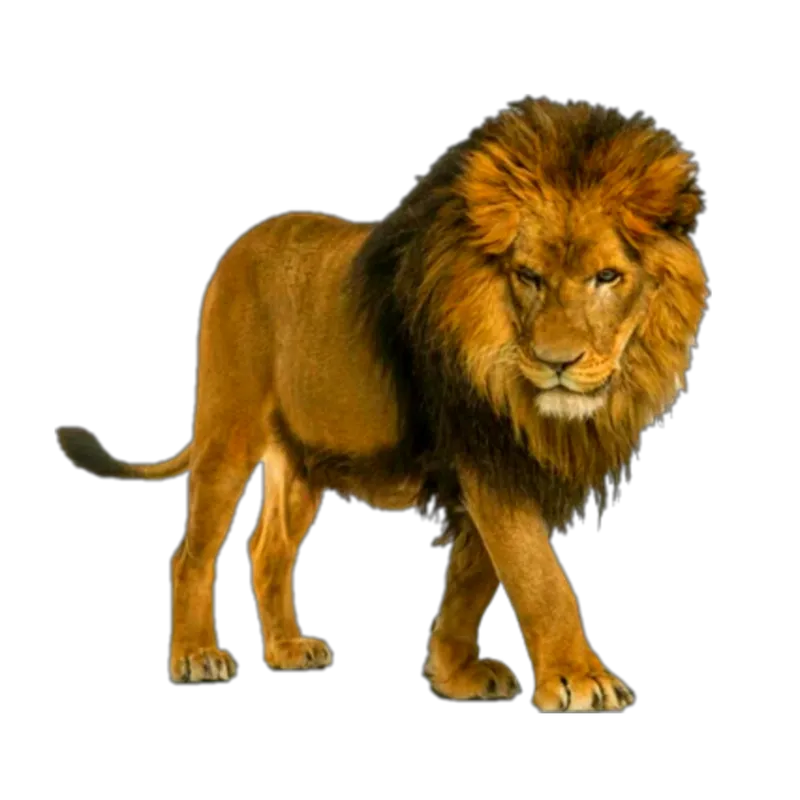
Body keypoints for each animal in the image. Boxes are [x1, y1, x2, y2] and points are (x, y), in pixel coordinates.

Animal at [57, 98, 707, 711]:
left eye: (608, 276)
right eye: (527, 275)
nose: (557, 362)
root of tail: (245, 241)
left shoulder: (501, 460)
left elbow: (475, 575)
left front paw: (455, 673)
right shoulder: (486, 451)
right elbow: (538, 576)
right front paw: (580, 680)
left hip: (303, 461)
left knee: (267, 550)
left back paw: (287, 650)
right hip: (228, 427)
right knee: (191, 553)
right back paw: (195, 655)